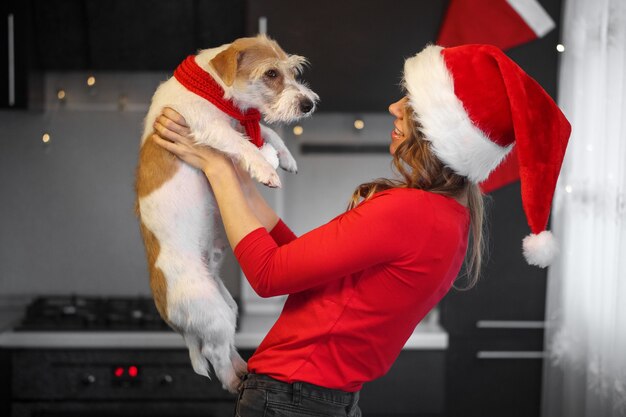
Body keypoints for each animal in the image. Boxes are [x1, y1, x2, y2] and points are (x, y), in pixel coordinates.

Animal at [132, 34, 316, 392]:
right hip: (209, 309)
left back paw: (243, 368)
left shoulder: (238, 122)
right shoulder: (210, 127)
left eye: (292, 70)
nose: (309, 104)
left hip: (225, 307)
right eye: (271, 74)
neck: (214, 88)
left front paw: (285, 157)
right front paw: (264, 168)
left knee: (225, 343)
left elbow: (267, 133)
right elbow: (242, 143)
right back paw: (233, 381)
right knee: (214, 354)